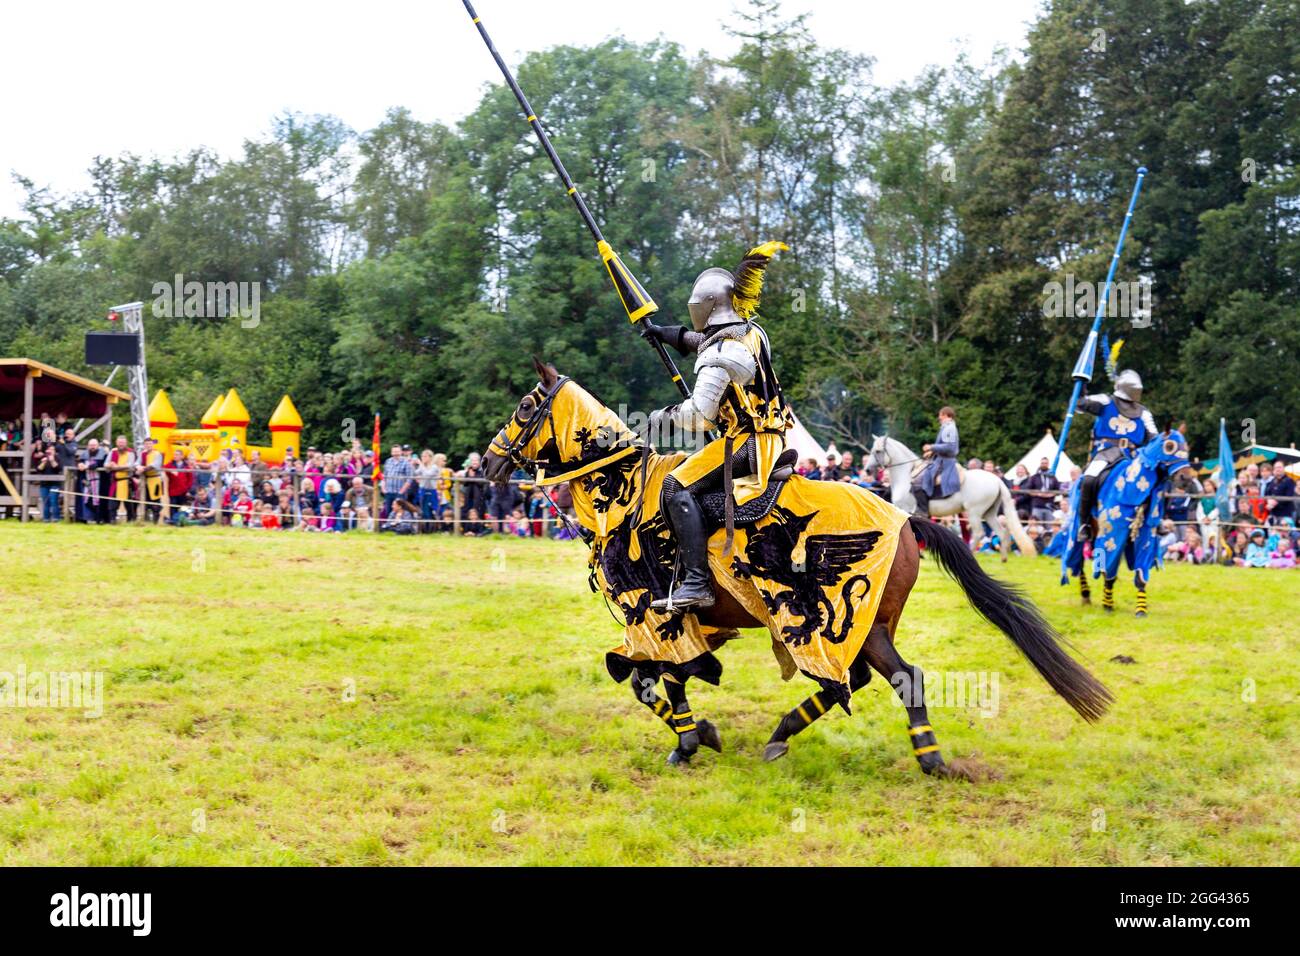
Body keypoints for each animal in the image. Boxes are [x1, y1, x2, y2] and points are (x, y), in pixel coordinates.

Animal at [863, 434, 1034, 561]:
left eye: (877, 451)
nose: (867, 470)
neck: (905, 476)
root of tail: (997, 480)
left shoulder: (905, 510)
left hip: (974, 512)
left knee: (978, 533)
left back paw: (971, 553)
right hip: (989, 513)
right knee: (1002, 532)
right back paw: (1003, 558)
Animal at [1060, 429, 1190, 616]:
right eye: (1169, 447)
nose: (1186, 478)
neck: (1132, 486)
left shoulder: (1146, 536)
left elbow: (1140, 572)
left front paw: (1141, 609)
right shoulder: (1112, 534)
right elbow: (1108, 569)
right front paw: (1107, 605)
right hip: (1078, 528)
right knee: (1078, 560)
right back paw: (1085, 594)